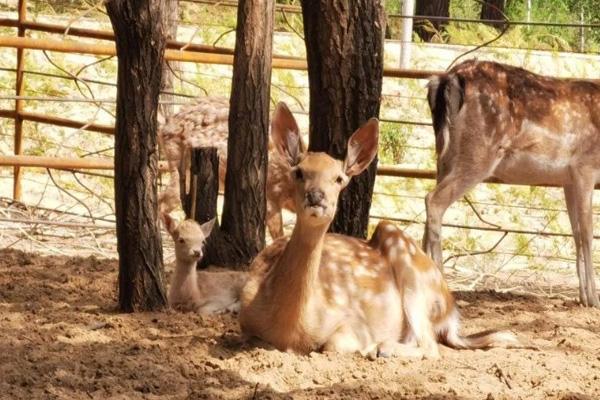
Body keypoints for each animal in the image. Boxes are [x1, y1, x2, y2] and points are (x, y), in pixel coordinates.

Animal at [239, 101, 516, 358]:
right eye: (298, 172)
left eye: (339, 178)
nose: (316, 197)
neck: (290, 328)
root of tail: (450, 312)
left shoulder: (355, 322)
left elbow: (333, 345)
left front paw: (367, 346)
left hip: (406, 258)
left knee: (430, 347)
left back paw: (381, 348)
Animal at [422, 59, 600, 308]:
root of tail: (448, 77)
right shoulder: (586, 167)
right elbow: (587, 233)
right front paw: (594, 298)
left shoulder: (568, 179)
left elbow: (575, 233)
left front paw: (583, 297)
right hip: (479, 152)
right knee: (433, 200)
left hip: (444, 157)